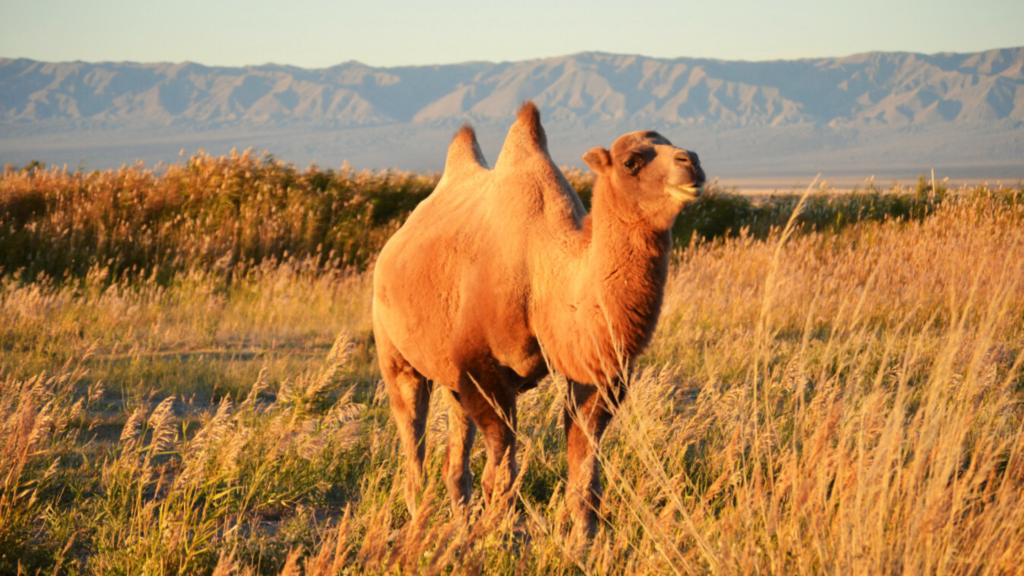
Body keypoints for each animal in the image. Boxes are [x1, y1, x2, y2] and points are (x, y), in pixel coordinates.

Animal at [374, 100, 704, 532]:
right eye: (631, 161)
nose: (692, 161)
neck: (544, 272)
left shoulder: (595, 371)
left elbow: (584, 472)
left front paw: (583, 538)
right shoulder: (482, 369)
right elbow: (501, 472)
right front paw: (497, 535)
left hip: (450, 377)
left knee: (455, 460)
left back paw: (459, 526)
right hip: (394, 354)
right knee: (414, 444)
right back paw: (421, 526)